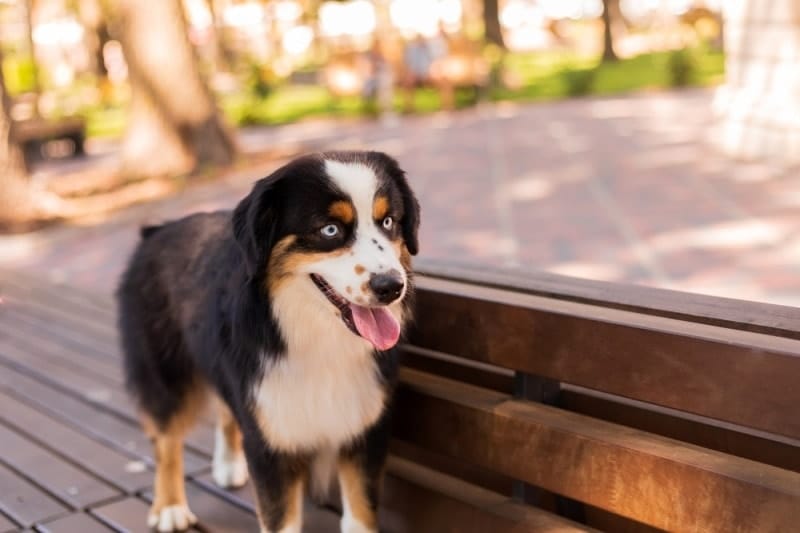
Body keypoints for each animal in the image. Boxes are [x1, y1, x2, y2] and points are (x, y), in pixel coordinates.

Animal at [117, 151, 418, 532]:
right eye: (330, 230)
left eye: (389, 221)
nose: (391, 286)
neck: (317, 337)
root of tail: (156, 230)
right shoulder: (270, 441)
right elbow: (280, 517)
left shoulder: (366, 428)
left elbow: (360, 511)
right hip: (165, 373)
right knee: (166, 438)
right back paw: (170, 506)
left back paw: (228, 464)